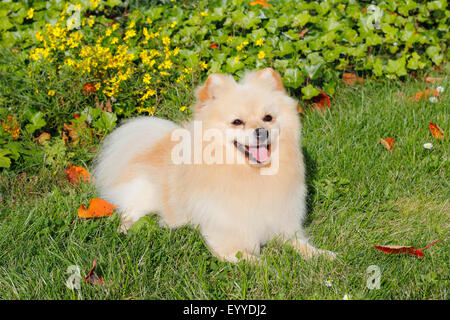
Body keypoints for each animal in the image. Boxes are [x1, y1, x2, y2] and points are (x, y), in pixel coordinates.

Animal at [94, 68, 334, 262]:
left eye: (268, 118)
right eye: (237, 122)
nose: (261, 131)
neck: (251, 175)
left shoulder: (282, 225)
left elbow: (301, 245)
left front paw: (323, 255)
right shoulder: (226, 238)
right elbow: (256, 261)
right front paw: (270, 266)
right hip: (145, 194)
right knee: (129, 211)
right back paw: (126, 231)